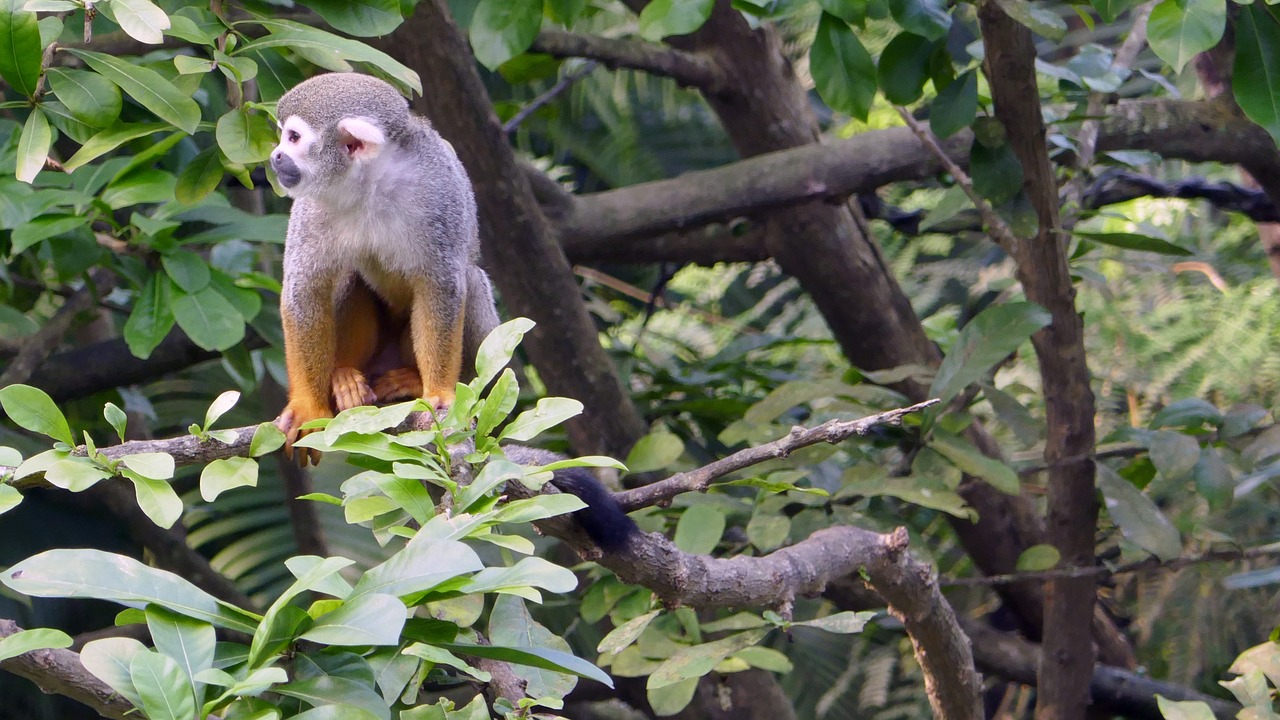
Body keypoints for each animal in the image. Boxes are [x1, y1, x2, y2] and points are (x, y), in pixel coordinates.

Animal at [270, 74, 499, 466]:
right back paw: (344, 376)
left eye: (294, 137)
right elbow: (306, 290)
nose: (276, 155)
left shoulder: (437, 191)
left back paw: (417, 381)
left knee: (468, 277)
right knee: (350, 275)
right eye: (283, 137)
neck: (369, 184)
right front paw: (308, 407)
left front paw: (439, 392)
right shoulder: (313, 203)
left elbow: (441, 286)